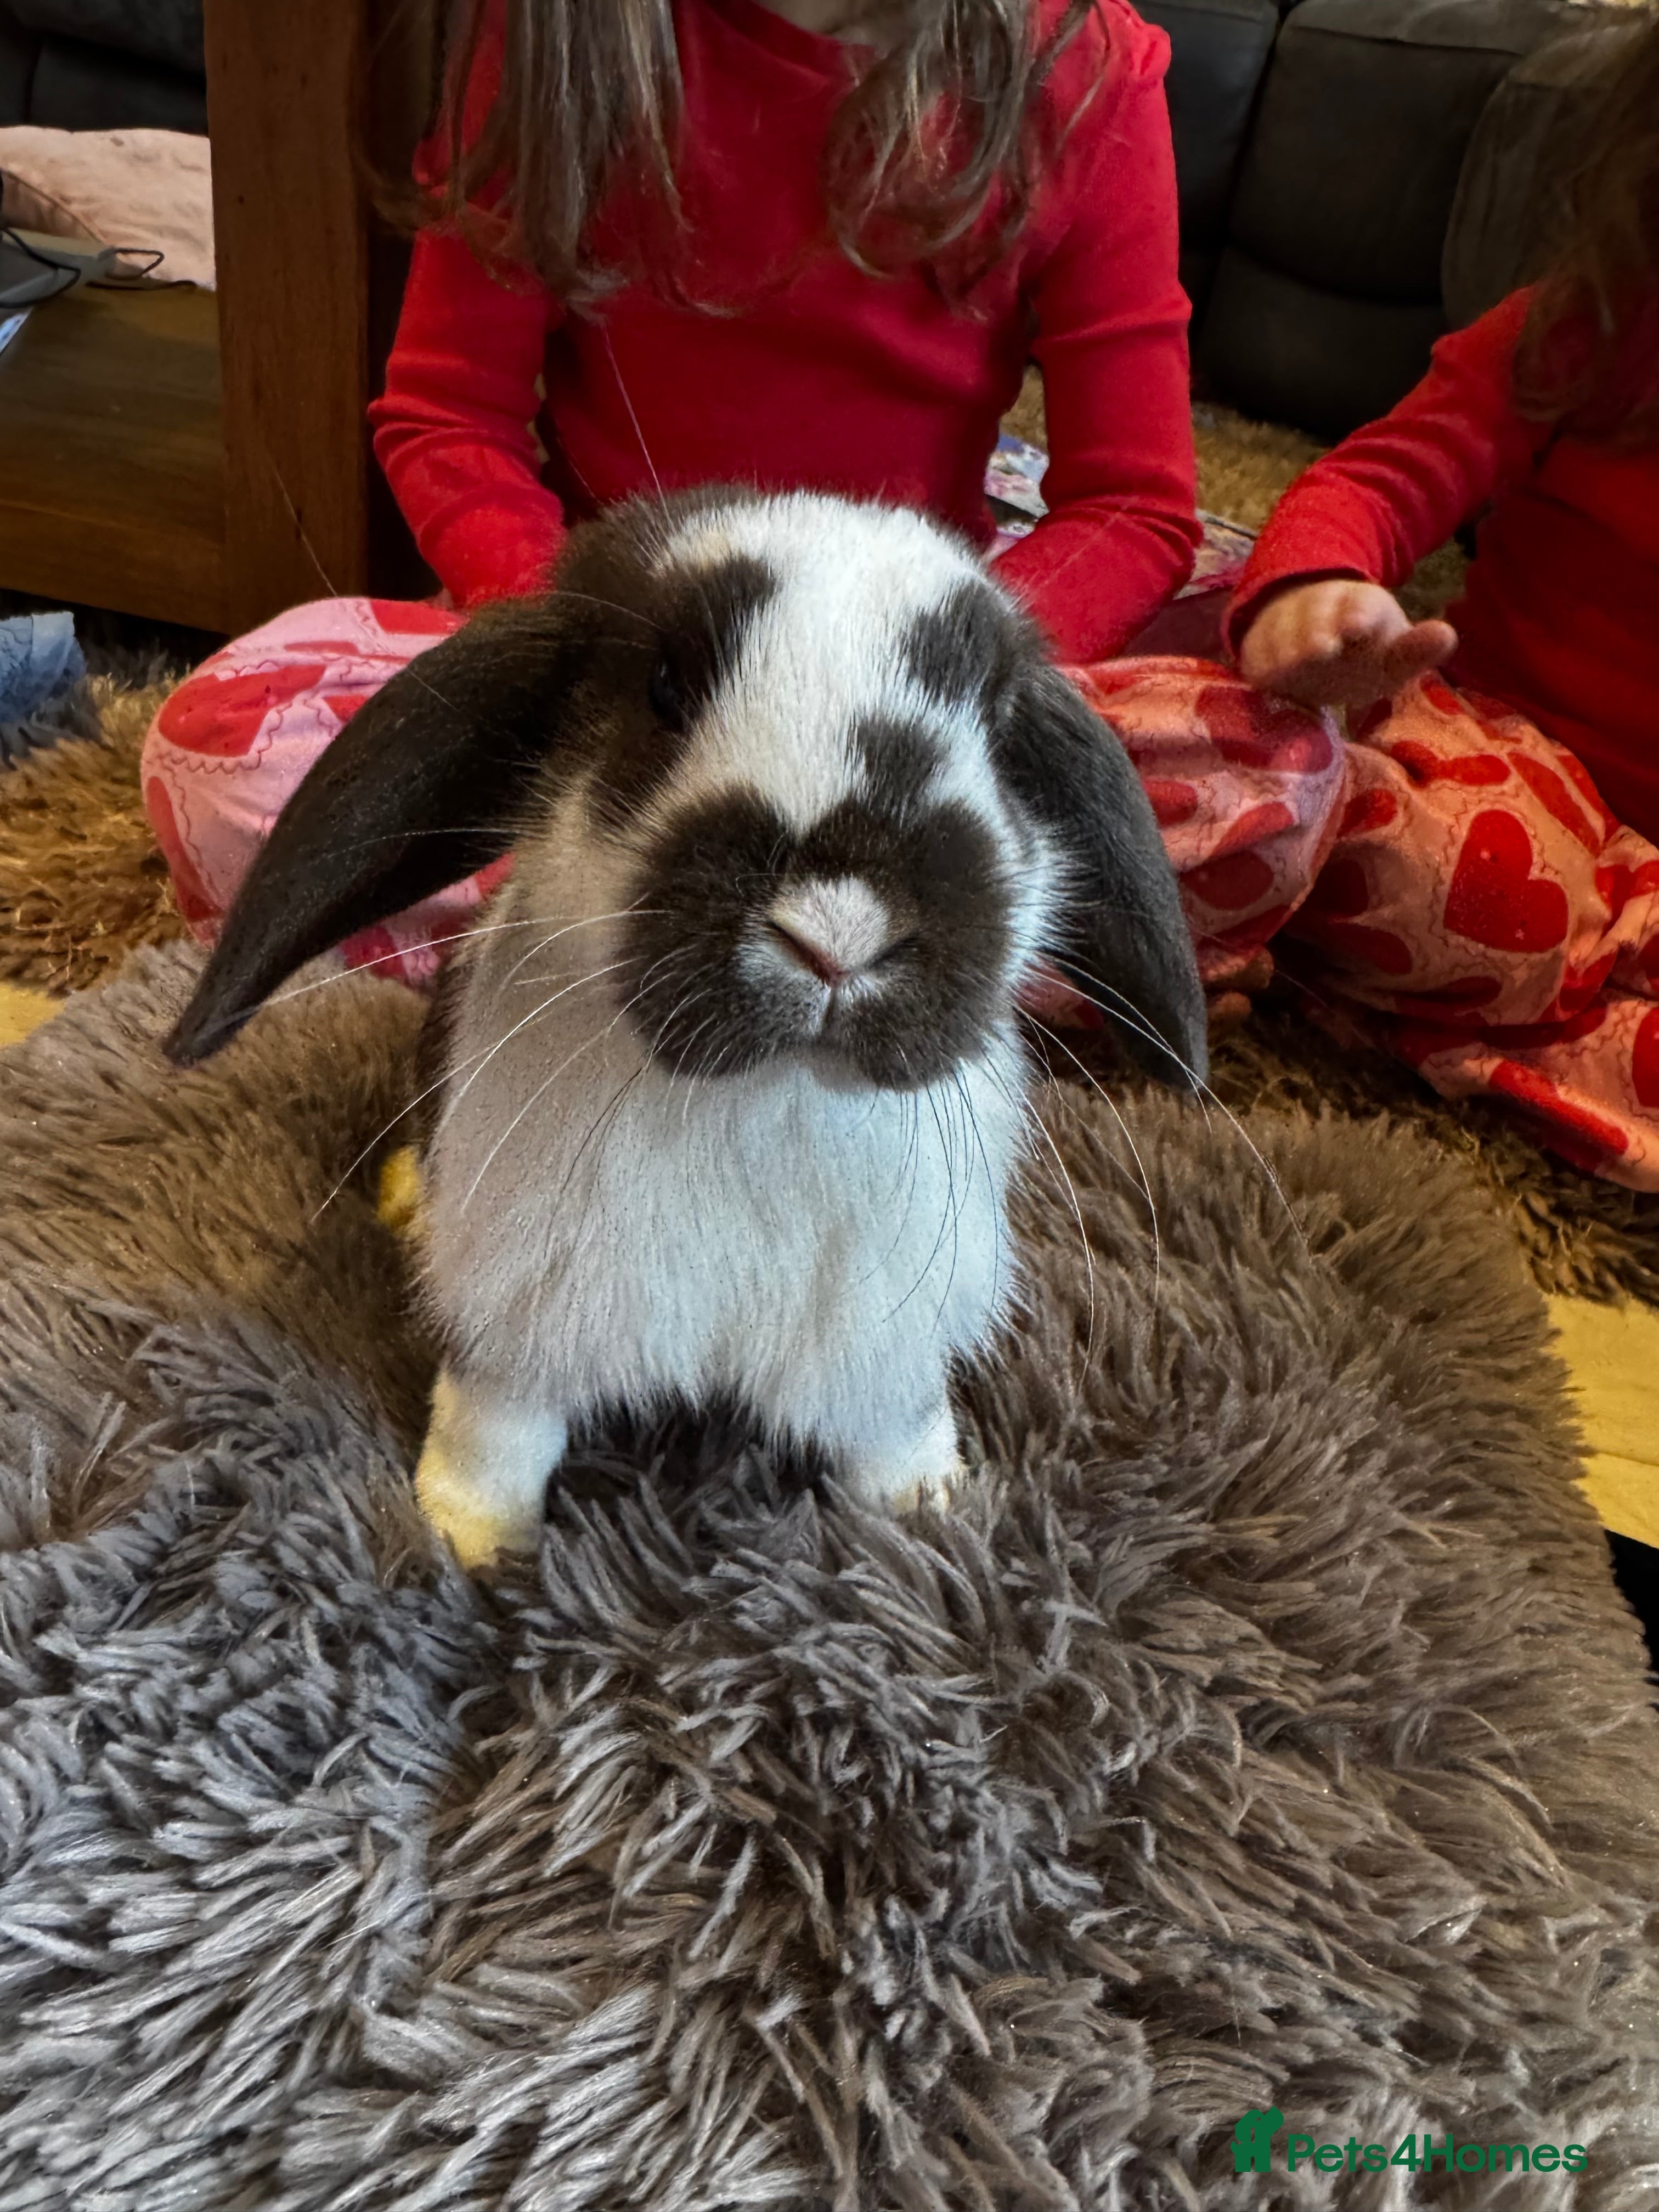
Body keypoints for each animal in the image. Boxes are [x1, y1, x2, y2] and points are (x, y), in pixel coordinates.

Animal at [167, 488, 1207, 1566]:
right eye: (663, 688)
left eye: (996, 723)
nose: (838, 929)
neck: (762, 1099)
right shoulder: (516, 1319)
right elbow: (494, 1431)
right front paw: (469, 1542)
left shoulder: (883, 1341)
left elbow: (894, 1428)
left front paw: (928, 1511)